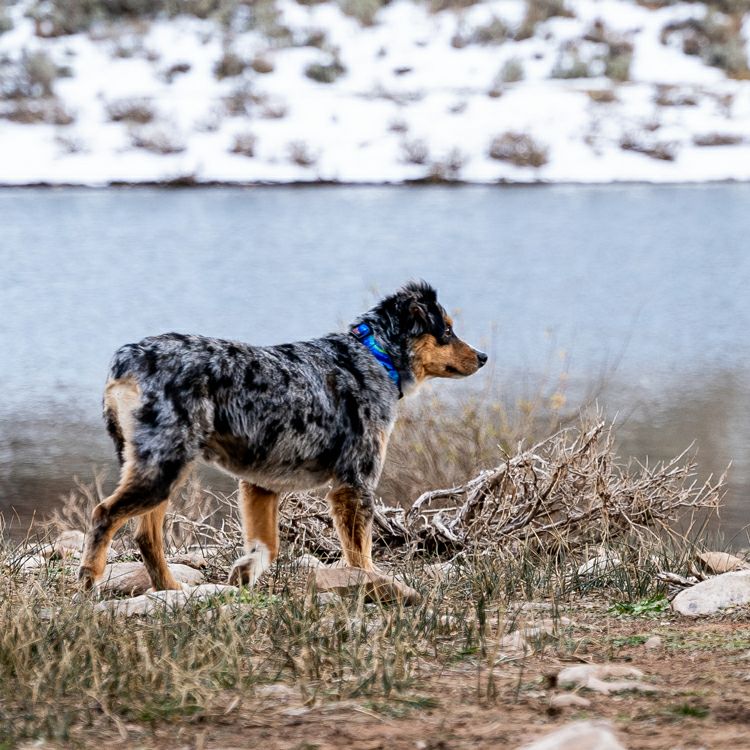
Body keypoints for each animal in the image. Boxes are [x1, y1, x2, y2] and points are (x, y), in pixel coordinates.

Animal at [78, 281, 487, 592]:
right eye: (446, 330)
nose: (482, 356)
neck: (372, 356)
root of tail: (127, 359)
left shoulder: (261, 485)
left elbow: (268, 547)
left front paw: (244, 575)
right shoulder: (354, 483)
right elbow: (360, 554)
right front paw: (369, 584)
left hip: (160, 470)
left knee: (146, 536)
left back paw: (169, 588)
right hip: (163, 469)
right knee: (103, 514)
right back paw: (88, 580)